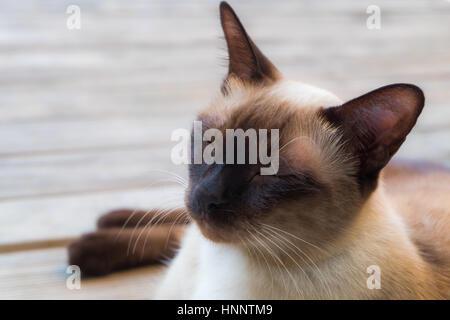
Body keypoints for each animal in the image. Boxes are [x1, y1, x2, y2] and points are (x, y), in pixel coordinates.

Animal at [67, 1, 450, 298]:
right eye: (210, 143)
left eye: (270, 175)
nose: (207, 197)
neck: (225, 261)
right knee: (176, 222)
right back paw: (105, 226)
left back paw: (89, 244)